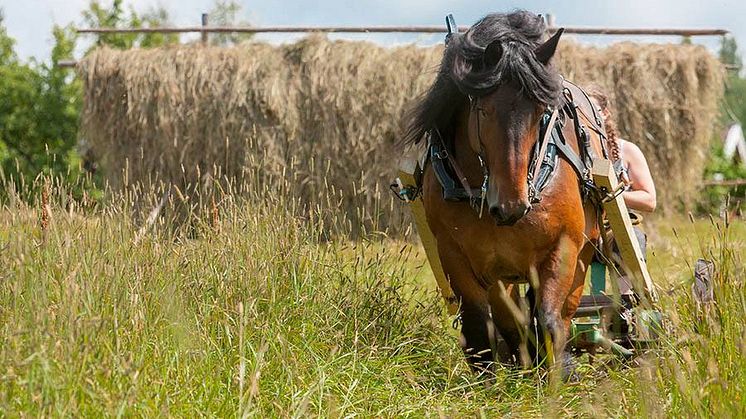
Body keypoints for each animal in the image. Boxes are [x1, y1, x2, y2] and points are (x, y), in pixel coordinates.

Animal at [404, 11, 608, 376]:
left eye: (541, 110)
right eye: (483, 110)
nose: (512, 204)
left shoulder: (564, 246)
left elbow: (550, 321)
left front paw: (555, 375)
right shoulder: (455, 254)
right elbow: (480, 324)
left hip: (584, 250)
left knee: (561, 313)